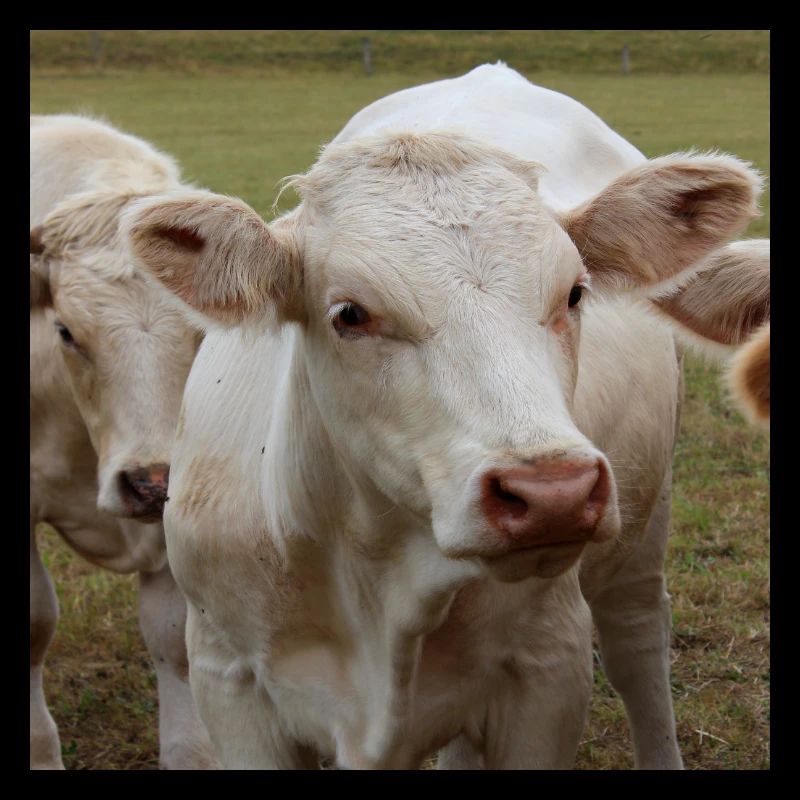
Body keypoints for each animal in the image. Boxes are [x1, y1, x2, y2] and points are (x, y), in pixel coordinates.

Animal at [122, 64, 768, 769]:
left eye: (575, 293)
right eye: (350, 313)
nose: (554, 494)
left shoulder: (549, 665)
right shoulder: (226, 674)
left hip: (642, 530)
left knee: (638, 645)